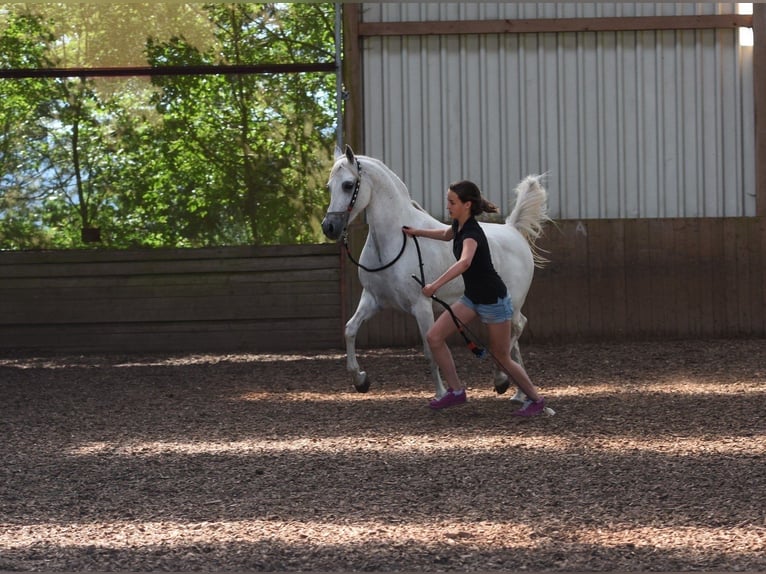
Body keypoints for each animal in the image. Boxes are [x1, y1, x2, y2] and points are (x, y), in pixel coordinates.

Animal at [320, 146, 548, 402]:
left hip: (513, 302)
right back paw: (518, 393)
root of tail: (512, 230)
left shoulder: (421, 305)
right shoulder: (373, 299)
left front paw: (440, 394)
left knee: (518, 328)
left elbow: (430, 351)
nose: (329, 227)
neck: (395, 242)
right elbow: (350, 330)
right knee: (511, 341)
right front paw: (360, 380)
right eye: (329, 186)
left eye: (348, 185)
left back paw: (502, 380)